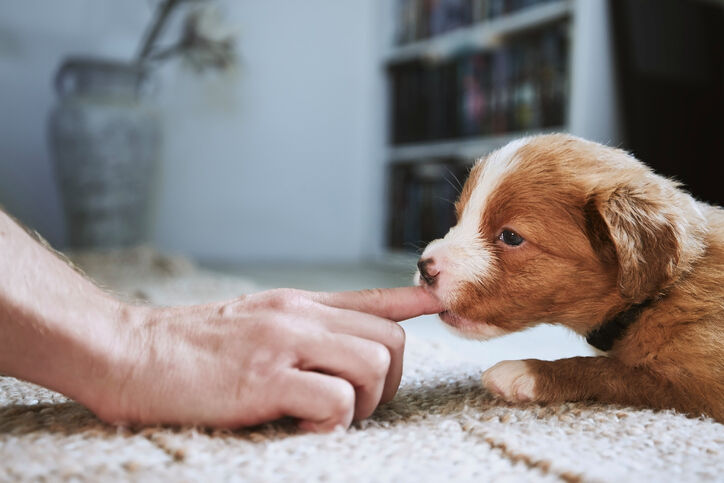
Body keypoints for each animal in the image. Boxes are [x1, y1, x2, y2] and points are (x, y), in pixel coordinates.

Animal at [412, 133, 724, 424]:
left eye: (511, 237)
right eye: (458, 217)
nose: (425, 268)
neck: (663, 293)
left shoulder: (701, 388)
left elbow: (613, 372)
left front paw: (524, 371)